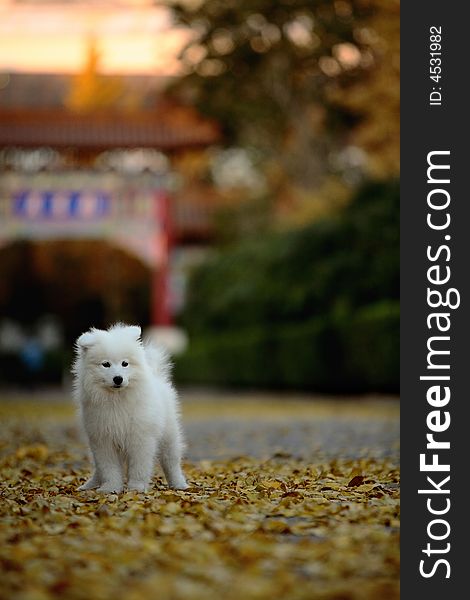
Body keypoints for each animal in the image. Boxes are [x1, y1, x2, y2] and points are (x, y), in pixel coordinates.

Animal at [71, 324, 187, 492]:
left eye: (125, 363)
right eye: (106, 364)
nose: (118, 379)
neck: (117, 400)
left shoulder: (140, 438)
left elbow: (139, 467)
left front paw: (136, 488)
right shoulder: (103, 440)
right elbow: (109, 468)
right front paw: (110, 488)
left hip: (169, 436)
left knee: (171, 462)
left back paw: (179, 484)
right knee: (99, 469)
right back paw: (89, 485)